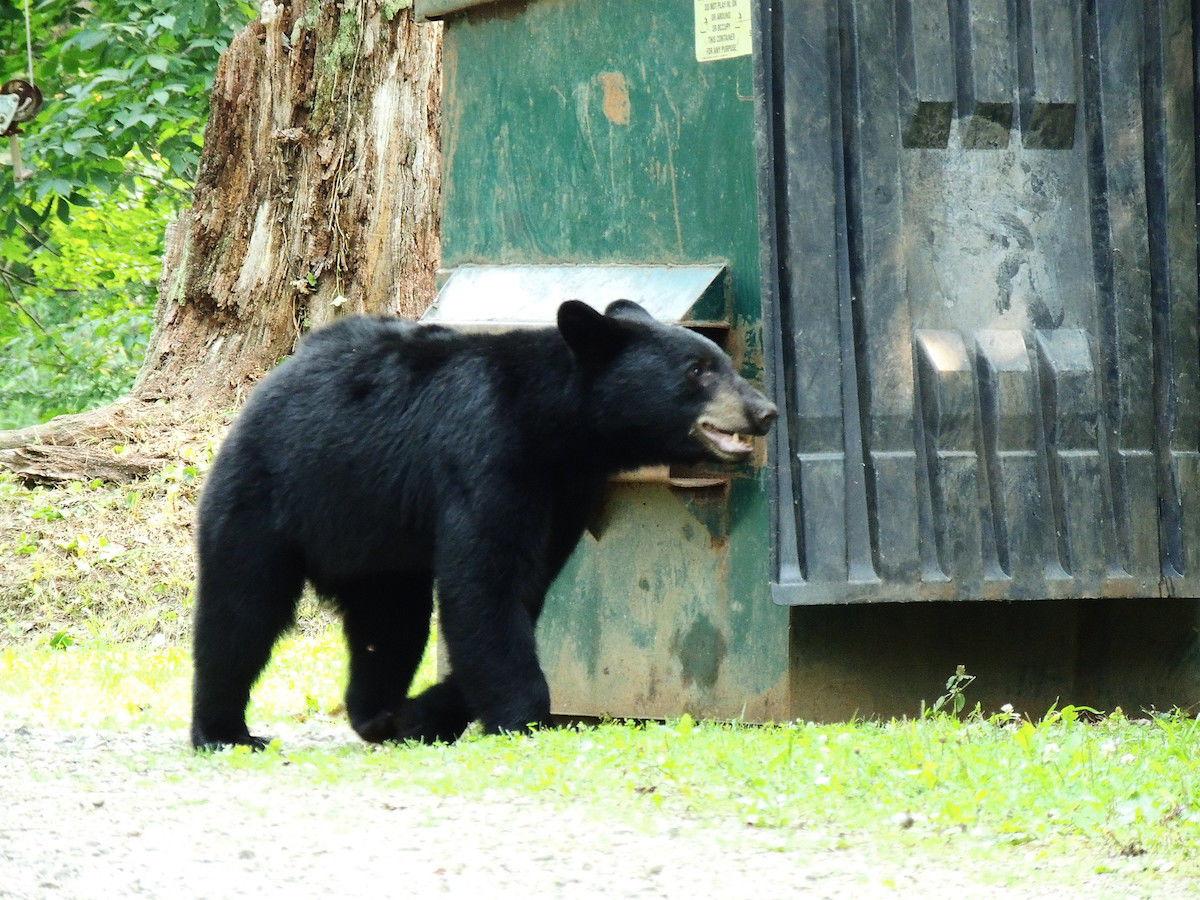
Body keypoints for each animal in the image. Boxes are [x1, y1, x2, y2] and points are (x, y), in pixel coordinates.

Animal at [190, 299, 777, 749]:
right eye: (696, 369)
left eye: (721, 362)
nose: (765, 411)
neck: (558, 428)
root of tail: (272, 378)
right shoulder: (488, 453)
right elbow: (486, 584)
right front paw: (522, 717)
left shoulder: (566, 493)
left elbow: (525, 589)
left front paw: (425, 713)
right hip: (269, 495)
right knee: (241, 611)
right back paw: (224, 731)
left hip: (378, 543)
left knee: (390, 624)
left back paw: (377, 714)